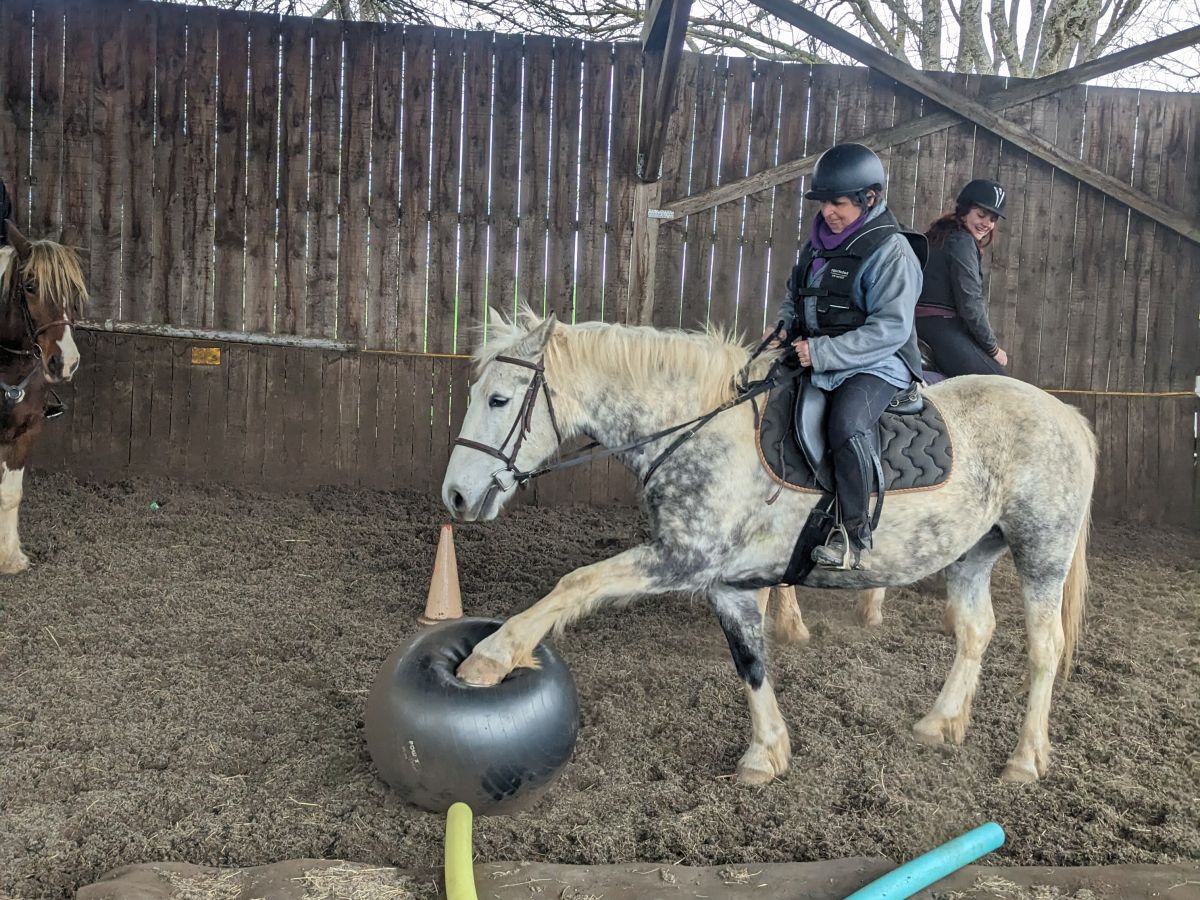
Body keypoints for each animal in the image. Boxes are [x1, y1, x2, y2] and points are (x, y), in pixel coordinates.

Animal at [444, 309, 1099, 782]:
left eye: (499, 400)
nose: (456, 495)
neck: (702, 428)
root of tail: (1064, 413)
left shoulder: (683, 558)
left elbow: (576, 582)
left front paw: (491, 656)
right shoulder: (728, 583)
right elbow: (751, 662)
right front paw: (766, 753)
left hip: (1042, 552)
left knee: (1043, 648)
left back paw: (1025, 759)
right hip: (971, 554)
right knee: (975, 632)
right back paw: (939, 724)